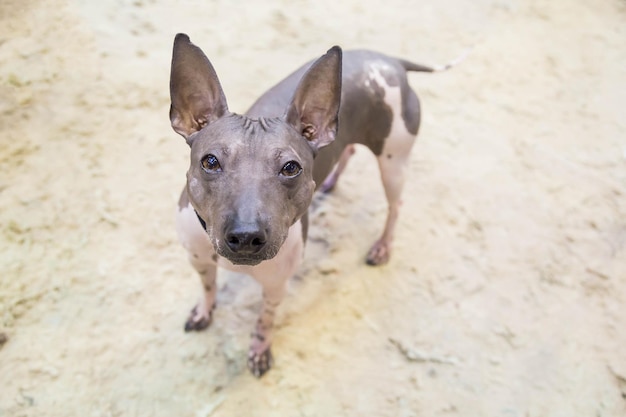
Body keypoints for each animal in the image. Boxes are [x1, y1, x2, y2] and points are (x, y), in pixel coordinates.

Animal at [169, 34, 458, 376]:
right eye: (210, 161)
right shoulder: (197, 259)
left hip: (394, 162)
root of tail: (390, 61)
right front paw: (204, 310)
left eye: (291, 168)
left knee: (395, 205)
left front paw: (259, 350)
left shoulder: (276, 287)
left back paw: (383, 246)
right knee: (347, 151)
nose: (246, 236)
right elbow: (208, 286)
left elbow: (264, 321)